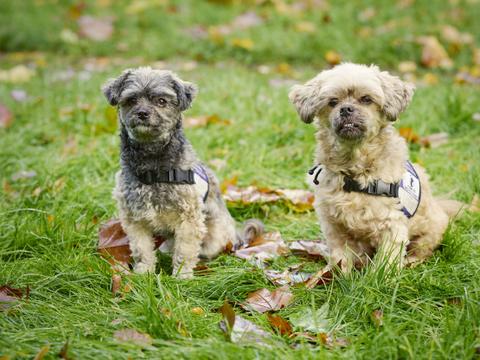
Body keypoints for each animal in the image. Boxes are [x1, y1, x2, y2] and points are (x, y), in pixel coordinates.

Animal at [288, 63, 458, 272]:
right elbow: (340, 257)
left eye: (366, 99)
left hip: (430, 231)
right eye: (333, 101)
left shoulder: (391, 225)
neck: (355, 170)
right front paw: (338, 275)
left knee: (423, 250)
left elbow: (386, 263)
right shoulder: (334, 226)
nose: (346, 109)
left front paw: (382, 276)